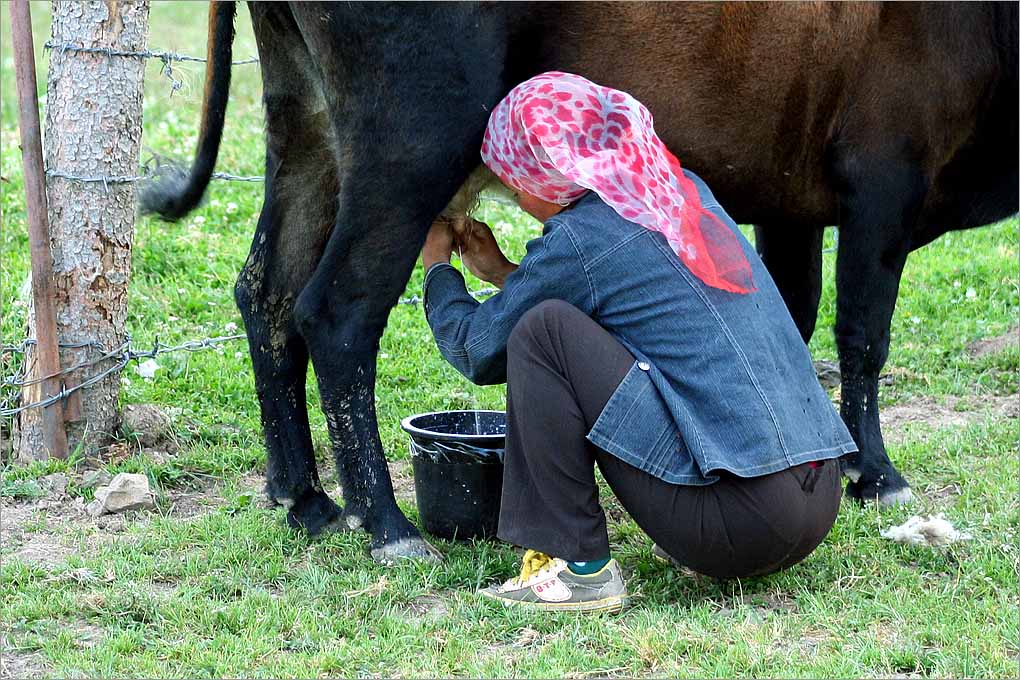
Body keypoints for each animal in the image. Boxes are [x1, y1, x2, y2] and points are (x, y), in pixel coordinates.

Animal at [145, 2, 1020, 562]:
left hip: (305, 123)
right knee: (337, 311)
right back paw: (386, 524)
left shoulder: (793, 196)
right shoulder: (884, 178)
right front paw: (877, 473)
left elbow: (797, 319)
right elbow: (864, 335)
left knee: (266, 295)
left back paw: (305, 499)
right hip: (408, 140)